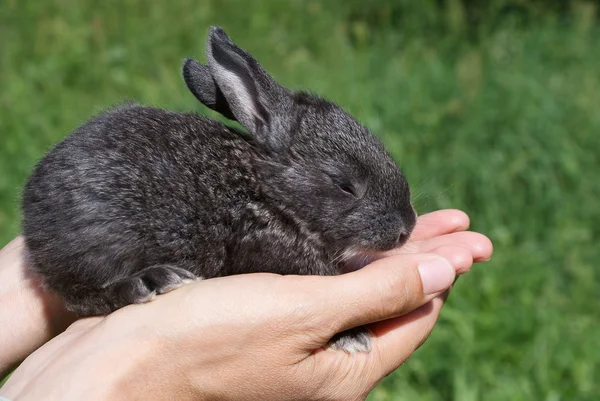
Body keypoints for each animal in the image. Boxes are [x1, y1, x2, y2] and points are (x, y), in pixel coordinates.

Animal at [23, 26, 418, 352]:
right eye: (344, 185)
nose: (406, 228)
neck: (268, 191)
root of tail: (31, 220)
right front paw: (353, 336)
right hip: (100, 241)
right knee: (82, 295)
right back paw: (151, 281)